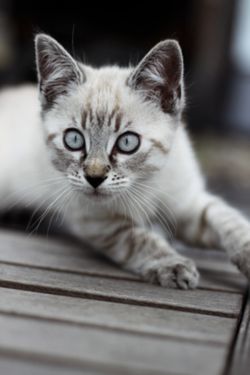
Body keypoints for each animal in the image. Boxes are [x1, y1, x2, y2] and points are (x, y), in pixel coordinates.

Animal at [0, 34, 249, 288]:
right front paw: (170, 263)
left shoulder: (188, 202)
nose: (94, 178)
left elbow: (228, 221)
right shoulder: (99, 221)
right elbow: (139, 239)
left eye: (128, 142)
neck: (145, 182)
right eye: (74, 139)